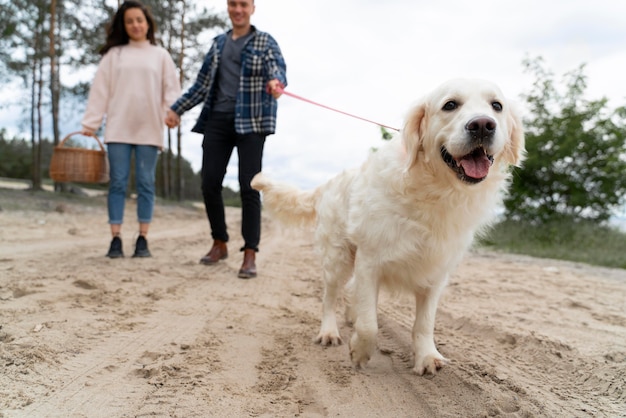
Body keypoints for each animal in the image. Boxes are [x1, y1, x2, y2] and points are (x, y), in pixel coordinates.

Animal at [251, 79, 524, 376]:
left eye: (496, 106)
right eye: (450, 105)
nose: (483, 125)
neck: (436, 191)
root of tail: (328, 183)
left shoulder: (436, 272)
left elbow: (424, 323)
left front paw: (427, 356)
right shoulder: (370, 260)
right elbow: (369, 324)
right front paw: (360, 351)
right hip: (337, 259)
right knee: (329, 298)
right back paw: (329, 331)